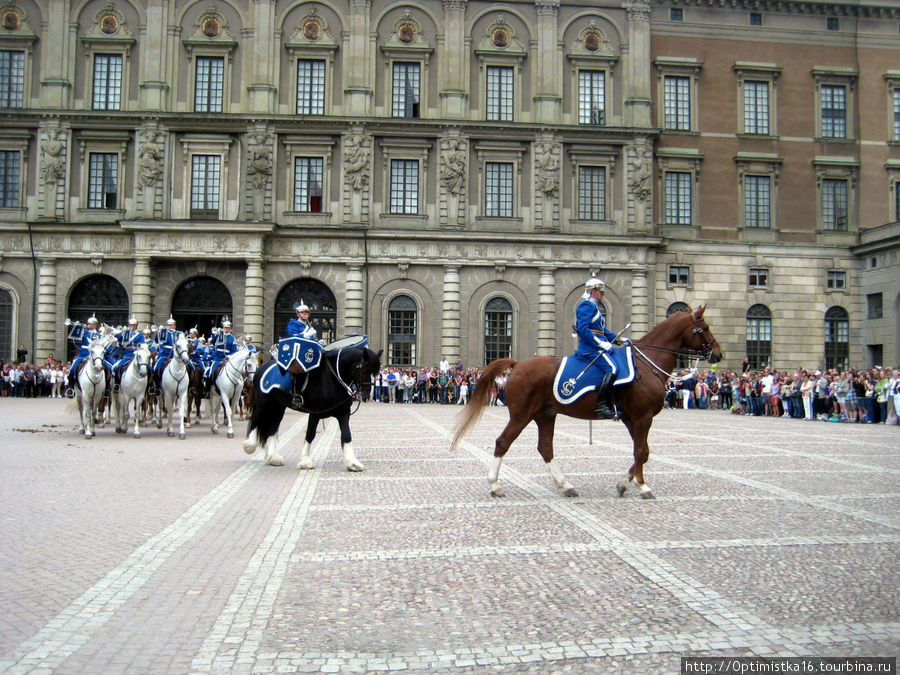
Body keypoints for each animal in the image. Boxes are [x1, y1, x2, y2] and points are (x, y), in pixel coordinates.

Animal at [241, 344, 382, 470]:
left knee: (272, 428)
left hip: (278, 407)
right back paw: (249, 446)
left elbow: (346, 435)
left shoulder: (343, 413)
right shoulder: (315, 413)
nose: (366, 396)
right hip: (263, 404)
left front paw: (352, 463)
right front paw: (305, 461)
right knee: (255, 421)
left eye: (376, 373)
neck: (332, 380)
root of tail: (262, 367)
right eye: (365, 369)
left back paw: (272, 457)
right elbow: (310, 434)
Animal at [450, 308, 724, 500]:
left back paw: (566, 485)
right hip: (521, 416)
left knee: (545, 448)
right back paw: (495, 485)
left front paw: (625, 483)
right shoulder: (642, 417)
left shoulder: (631, 418)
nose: (718, 354)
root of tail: (517, 365)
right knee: (502, 443)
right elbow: (641, 452)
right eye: (705, 328)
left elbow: (641, 453)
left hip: (545, 415)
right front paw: (643, 486)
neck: (647, 363)